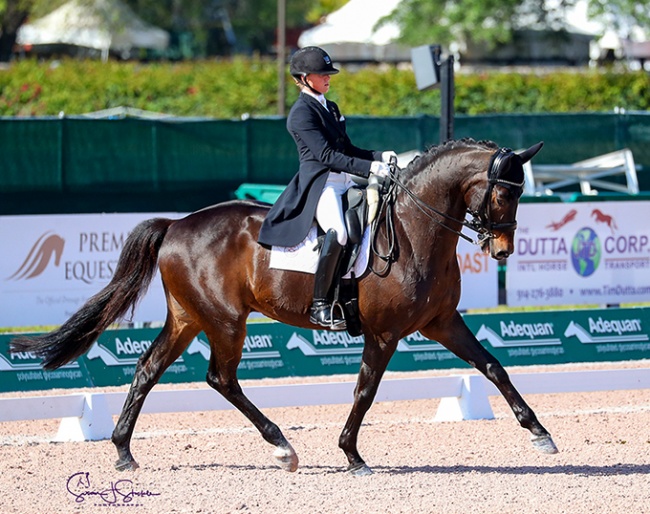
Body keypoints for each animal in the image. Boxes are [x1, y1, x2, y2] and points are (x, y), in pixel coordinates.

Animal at [8, 137, 556, 476]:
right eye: (504, 195)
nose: (502, 251)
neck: (415, 230)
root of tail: (177, 224)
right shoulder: (384, 334)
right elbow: (365, 392)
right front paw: (352, 455)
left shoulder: (442, 322)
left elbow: (493, 366)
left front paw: (539, 433)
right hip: (225, 320)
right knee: (220, 378)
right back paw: (282, 447)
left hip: (189, 317)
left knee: (147, 368)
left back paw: (123, 451)